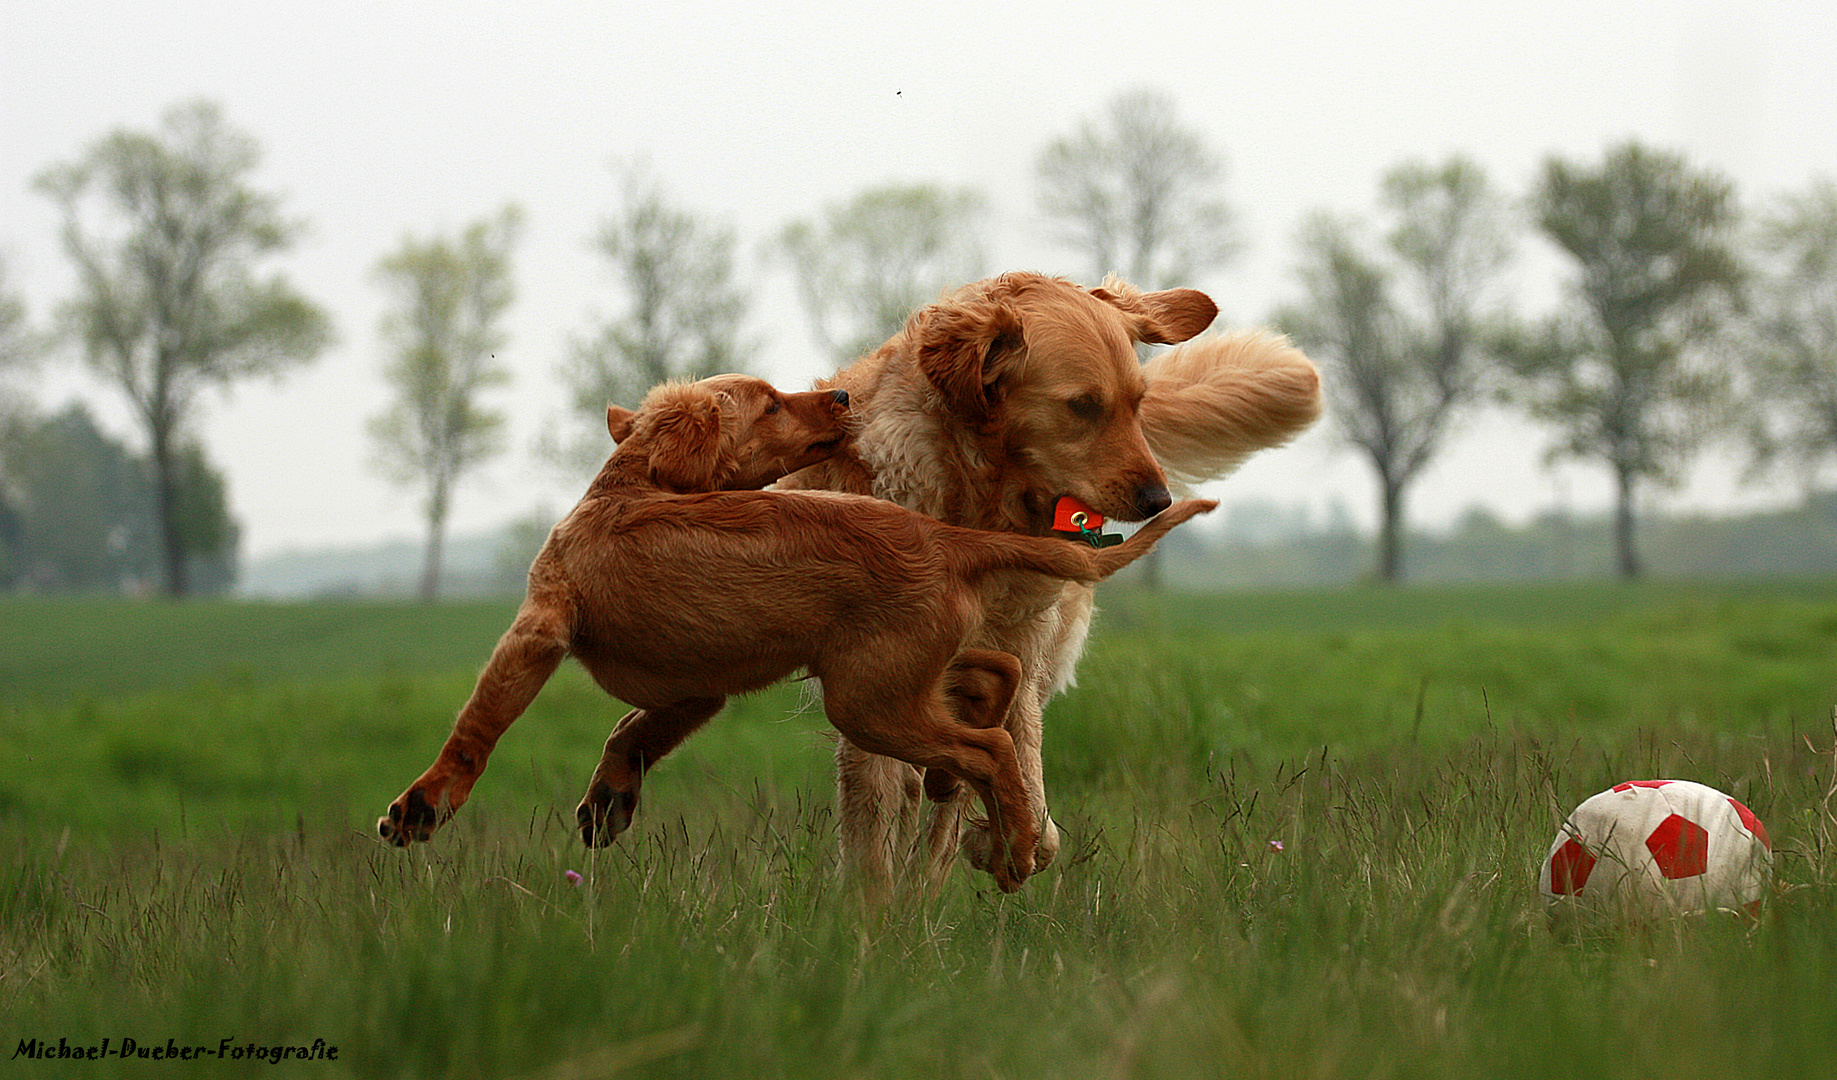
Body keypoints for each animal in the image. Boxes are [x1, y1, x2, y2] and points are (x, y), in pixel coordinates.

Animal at [378, 371, 1212, 885]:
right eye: (771, 403)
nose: (839, 394)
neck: (629, 484)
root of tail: (943, 538)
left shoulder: (541, 628)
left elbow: (478, 727)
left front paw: (421, 807)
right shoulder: (695, 688)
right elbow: (631, 732)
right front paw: (609, 802)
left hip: (865, 699)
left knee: (992, 745)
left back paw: (1009, 848)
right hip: (895, 670)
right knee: (994, 685)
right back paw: (962, 786)